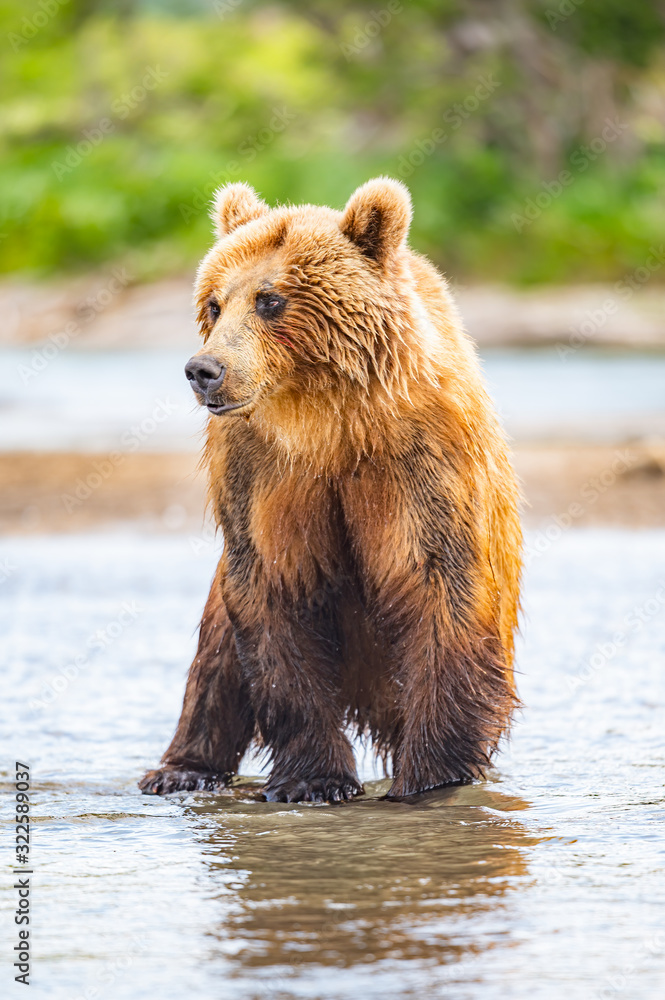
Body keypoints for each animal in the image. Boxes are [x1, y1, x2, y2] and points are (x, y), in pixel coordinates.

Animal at [139, 177, 522, 802]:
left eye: (269, 299)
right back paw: (180, 770)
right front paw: (312, 780)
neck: (327, 424)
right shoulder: (261, 474)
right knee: (215, 662)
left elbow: (439, 585)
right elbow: (274, 594)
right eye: (215, 303)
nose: (205, 370)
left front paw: (429, 776)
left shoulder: (420, 462)